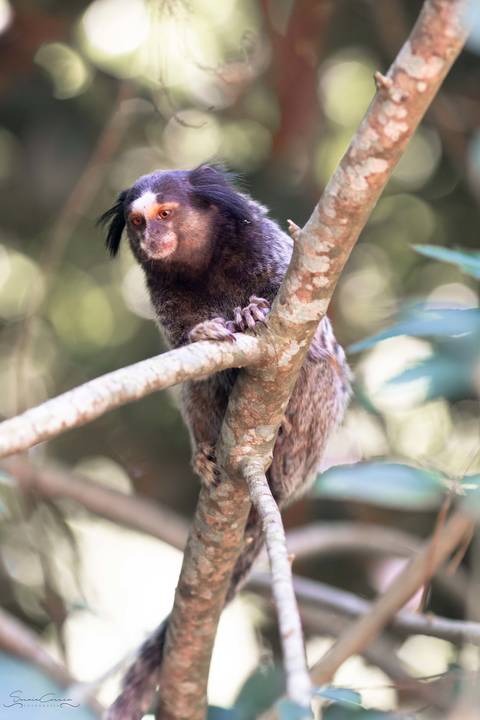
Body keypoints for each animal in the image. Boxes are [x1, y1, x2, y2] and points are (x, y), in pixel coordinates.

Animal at [99, 164, 350, 719]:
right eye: (138, 221)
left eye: (166, 213)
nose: (152, 236)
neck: (202, 263)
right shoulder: (163, 292)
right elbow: (186, 346)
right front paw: (206, 331)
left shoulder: (272, 250)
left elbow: (312, 333)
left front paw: (254, 315)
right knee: (198, 387)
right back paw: (208, 452)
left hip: (313, 433)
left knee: (319, 370)